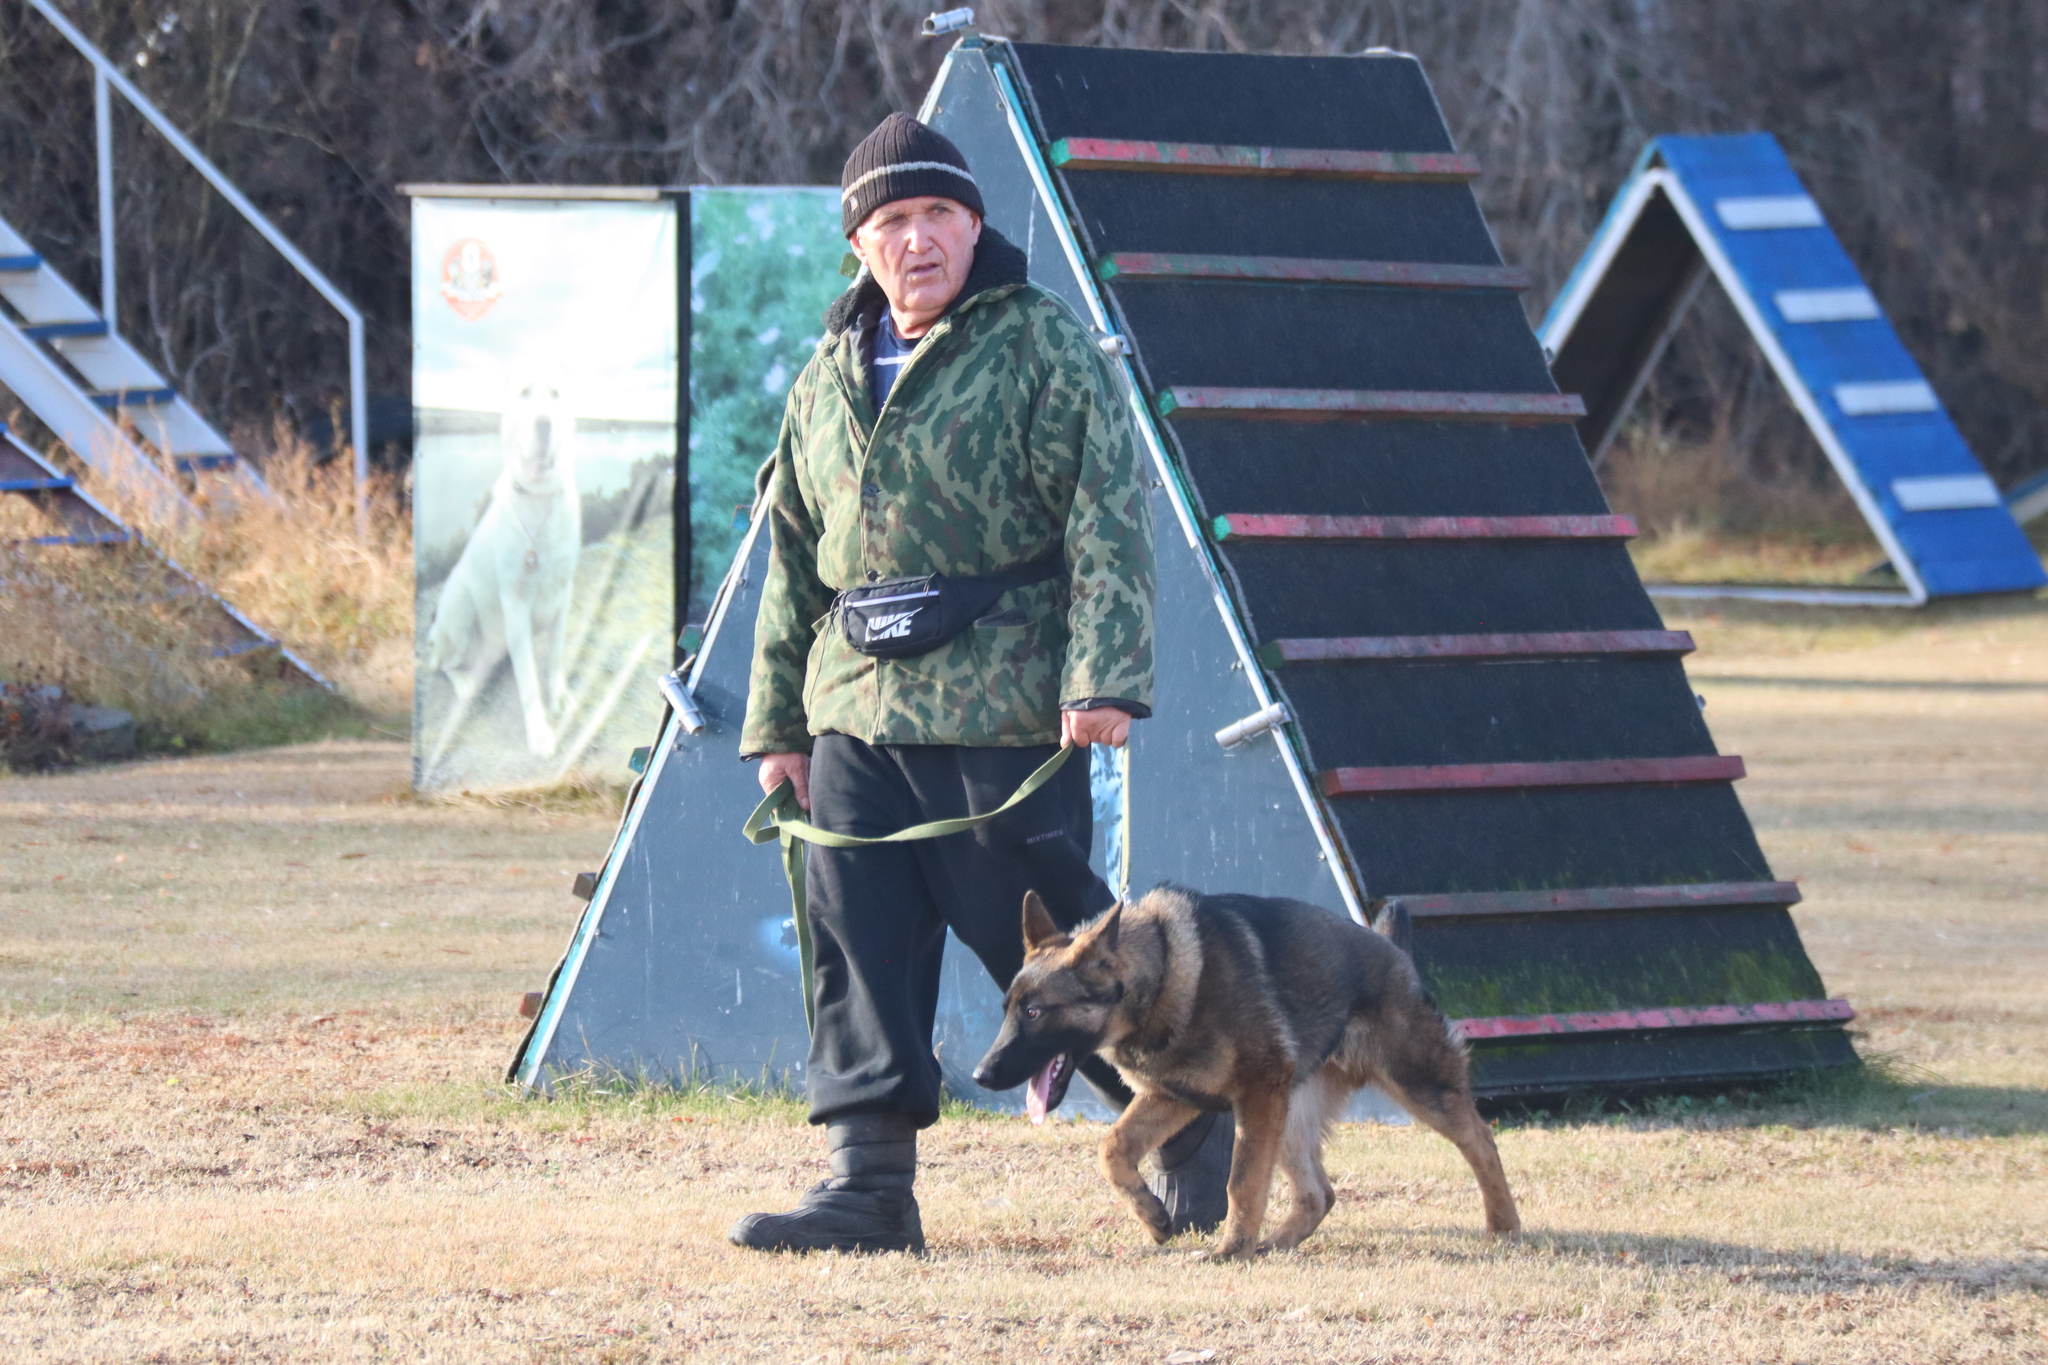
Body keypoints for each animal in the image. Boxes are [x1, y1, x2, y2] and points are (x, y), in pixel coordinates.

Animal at [974, 888, 1523, 1260]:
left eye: (1034, 1013)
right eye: (1007, 1010)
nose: (981, 1074)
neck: (1159, 980)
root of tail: (1393, 951)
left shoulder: (1254, 1094)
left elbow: (1241, 1181)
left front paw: (1229, 1249)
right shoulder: (1173, 1096)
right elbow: (1113, 1149)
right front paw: (1155, 1219)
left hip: (1416, 1084)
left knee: (1482, 1142)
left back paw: (1504, 1226)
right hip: (1290, 1115)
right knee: (1318, 1195)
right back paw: (1273, 1243)